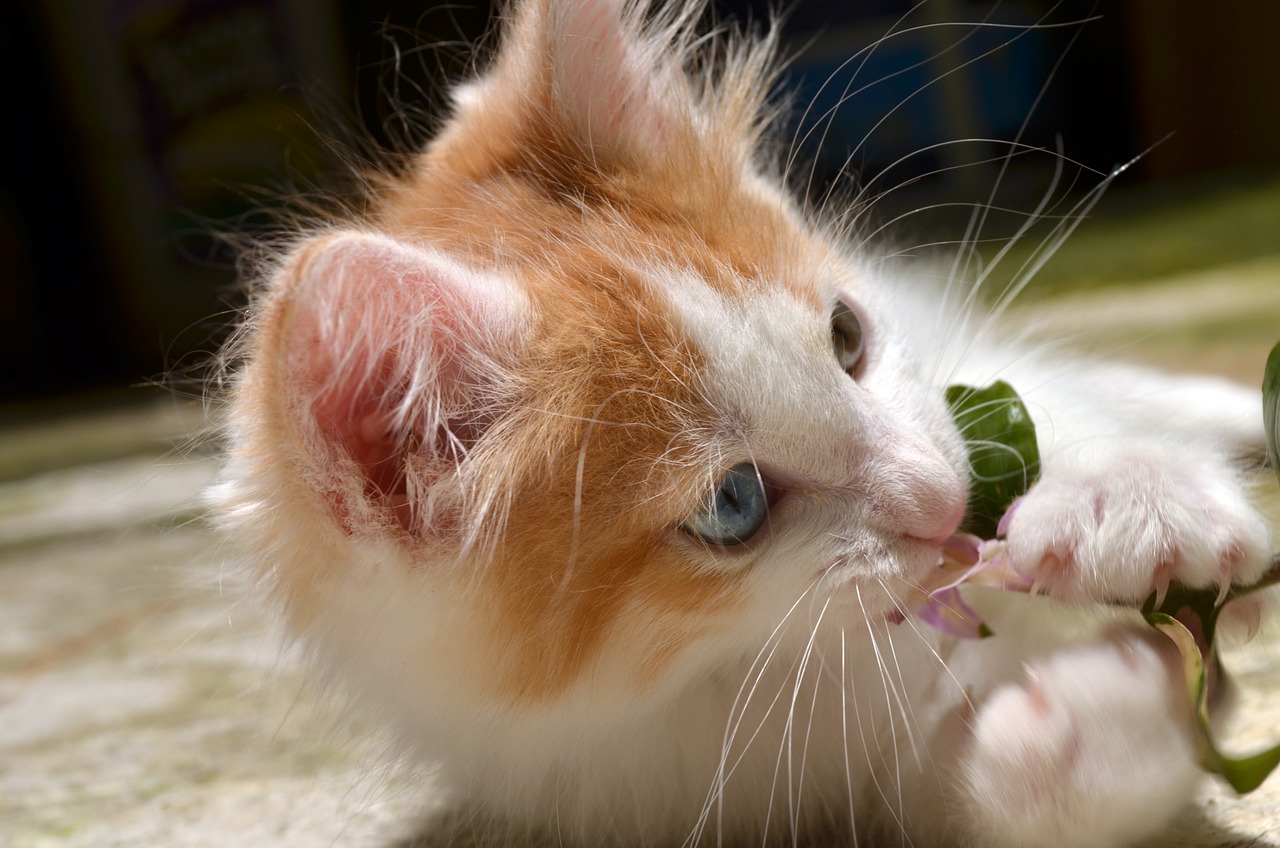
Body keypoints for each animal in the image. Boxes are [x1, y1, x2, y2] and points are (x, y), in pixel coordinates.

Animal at [212, 1, 1269, 848]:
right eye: (734, 503)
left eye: (847, 335)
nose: (942, 502)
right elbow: (1008, 793)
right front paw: (1109, 696)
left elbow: (1058, 412)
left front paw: (1131, 505)